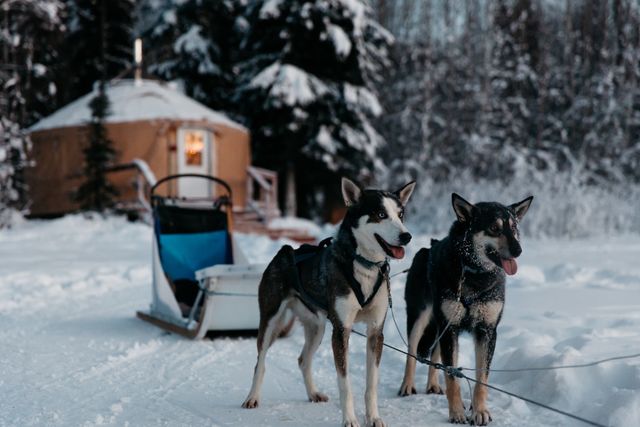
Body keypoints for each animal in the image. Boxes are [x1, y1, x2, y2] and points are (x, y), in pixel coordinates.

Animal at [242, 178, 418, 427]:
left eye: (401, 215)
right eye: (381, 214)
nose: (407, 236)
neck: (364, 265)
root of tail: (286, 251)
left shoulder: (375, 332)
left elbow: (371, 384)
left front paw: (373, 417)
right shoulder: (341, 331)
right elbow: (345, 384)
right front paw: (350, 419)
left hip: (318, 328)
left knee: (303, 360)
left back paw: (313, 393)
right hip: (270, 322)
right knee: (261, 361)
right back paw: (252, 397)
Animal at [398, 194, 532, 424]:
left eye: (513, 227)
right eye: (494, 228)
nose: (518, 250)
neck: (475, 274)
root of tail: (427, 249)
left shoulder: (486, 331)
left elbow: (481, 378)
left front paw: (480, 411)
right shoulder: (450, 328)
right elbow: (452, 377)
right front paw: (457, 413)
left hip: (440, 327)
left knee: (435, 356)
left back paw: (433, 384)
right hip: (419, 319)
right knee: (412, 352)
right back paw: (407, 385)